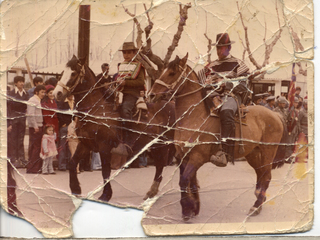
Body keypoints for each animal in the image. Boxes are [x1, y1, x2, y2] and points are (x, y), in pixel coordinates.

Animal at [53, 55, 176, 202]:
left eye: (73, 73)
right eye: (63, 72)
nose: (57, 93)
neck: (96, 110)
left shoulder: (104, 147)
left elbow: (105, 171)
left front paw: (106, 195)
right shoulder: (85, 144)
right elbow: (72, 164)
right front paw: (76, 190)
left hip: (164, 144)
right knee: (160, 165)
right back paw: (152, 192)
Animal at [149, 53, 286, 220]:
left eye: (172, 73)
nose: (151, 95)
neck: (195, 117)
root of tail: (275, 114)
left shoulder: (197, 157)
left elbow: (184, 181)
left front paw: (187, 210)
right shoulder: (184, 156)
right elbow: (190, 182)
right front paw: (194, 207)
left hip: (267, 153)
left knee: (266, 176)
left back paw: (256, 206)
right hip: (253, 154)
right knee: (260, 174)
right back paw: (259, 201)